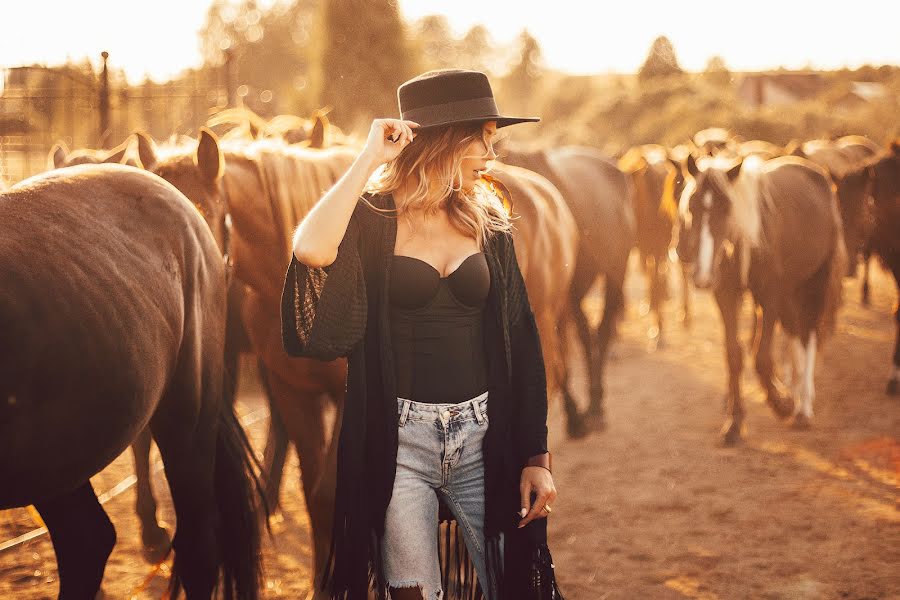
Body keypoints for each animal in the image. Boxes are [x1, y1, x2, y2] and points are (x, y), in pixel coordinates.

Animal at [680, 155, 848, 446]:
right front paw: (735, 422)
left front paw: (781, 404)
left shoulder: (770, 296)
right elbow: (735, 355)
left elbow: (761, 356)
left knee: (809, 335)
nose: (702, 275)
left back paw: (803, 406)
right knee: (795, 335)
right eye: (692, 206)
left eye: (726, 208)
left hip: (815, 284)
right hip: (791, 292)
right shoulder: (727, 295)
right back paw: (795, 390)